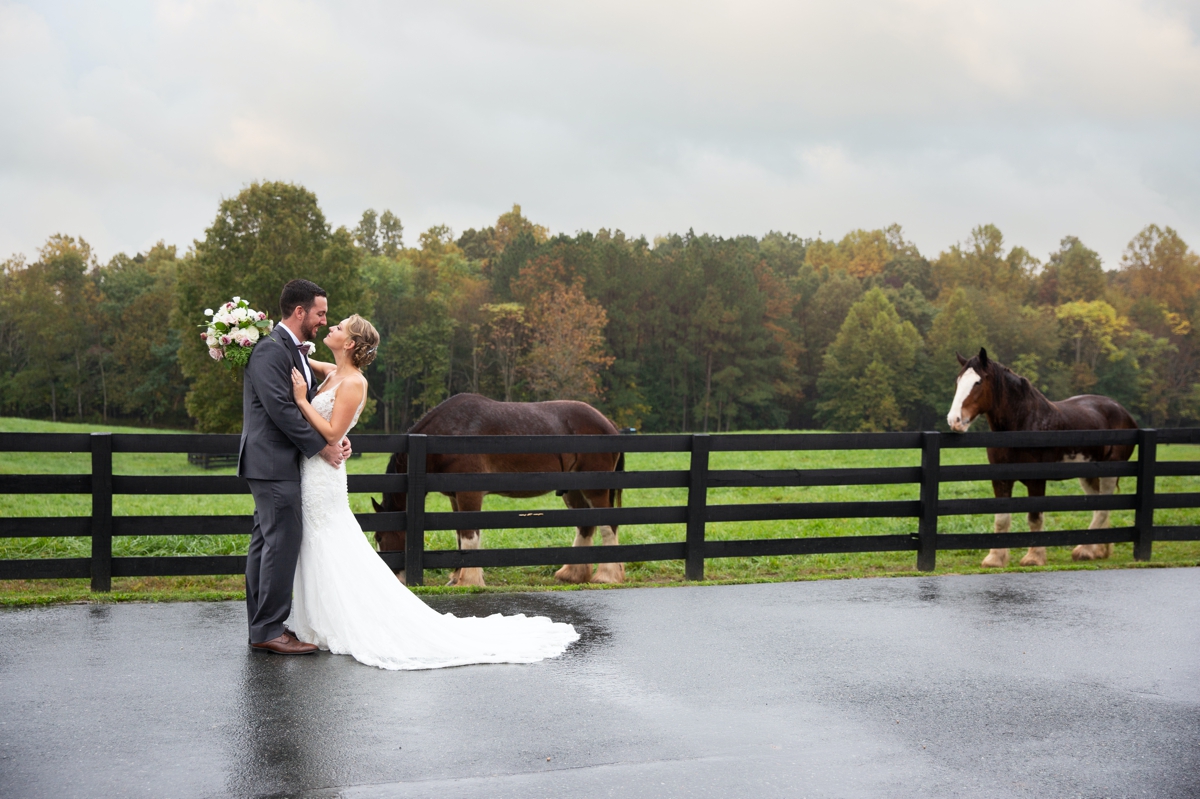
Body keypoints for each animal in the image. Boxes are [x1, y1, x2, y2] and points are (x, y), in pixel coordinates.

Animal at [369, 391, 624, 585]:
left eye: (379, 536)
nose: (394, 578)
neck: (447, 434)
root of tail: (609, 424)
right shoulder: (455, 497)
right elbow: (460, 535)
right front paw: (456, 577)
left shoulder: (469, 494)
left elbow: (469, 536)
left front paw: (468, 581)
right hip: (574, 491)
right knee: (586, 525)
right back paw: (573, 574)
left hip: (595, 490)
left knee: (607, 525)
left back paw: (607, 576)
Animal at [945, 347, 1132, 566]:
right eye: (958, 381)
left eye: (978, 382)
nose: (955, 420)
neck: (1023, 424)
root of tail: (1124, 413)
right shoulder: (1000, 479)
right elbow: (1001, 518)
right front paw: (995, 558)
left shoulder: (1036, 480)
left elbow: (1035, 518)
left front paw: (1034, 557)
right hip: (1088, 475)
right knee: (1100, 506)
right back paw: (1098, 550)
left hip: (1110, 472)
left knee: (1102, 509)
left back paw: (1084, 551)